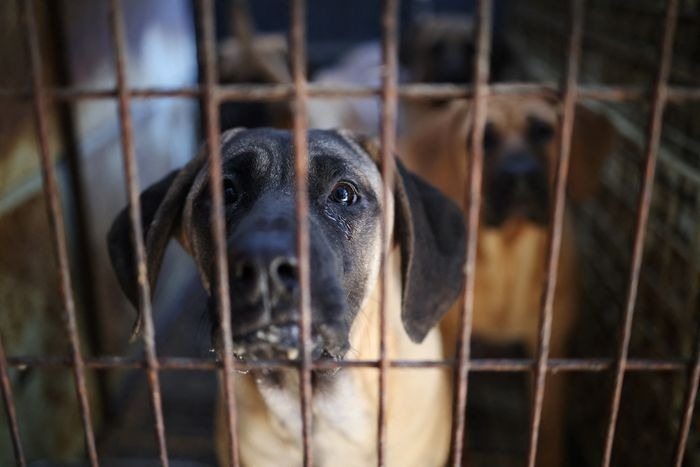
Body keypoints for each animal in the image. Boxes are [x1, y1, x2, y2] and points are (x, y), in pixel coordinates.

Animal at [400, 96, 612, 467]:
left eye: (543, 131)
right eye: (482, 140)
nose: (520, 176)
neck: (507, 257)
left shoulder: (549, 351)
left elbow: (548, 427)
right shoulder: (452, 346)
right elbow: (455, 412)